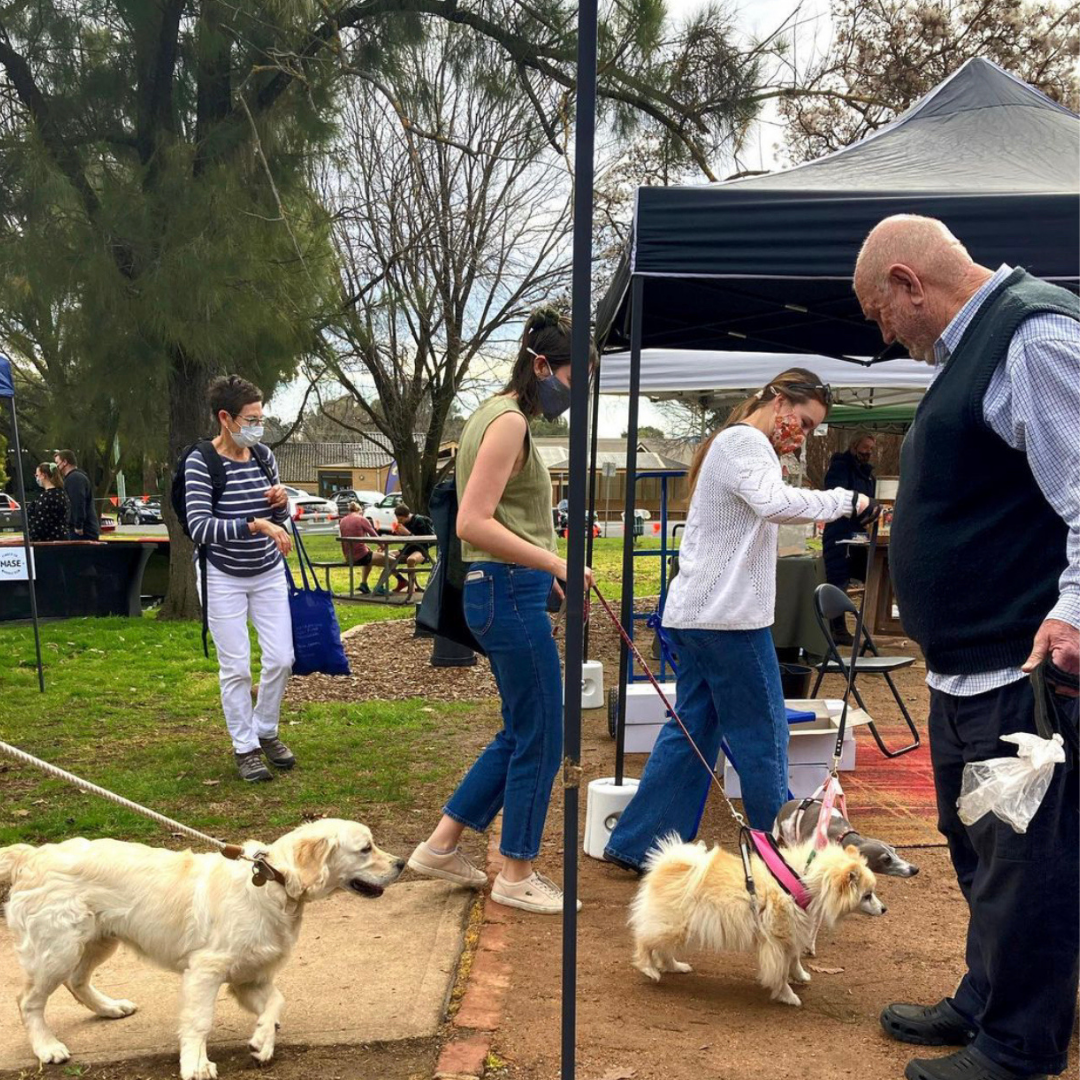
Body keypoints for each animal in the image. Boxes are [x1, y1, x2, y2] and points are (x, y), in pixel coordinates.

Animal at [0, 816, 406, 1080]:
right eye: (365, 848)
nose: (402, 863)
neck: (274, 884)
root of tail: (30, 855)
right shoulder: (206, 971)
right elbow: (199, 1021)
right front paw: (195, 1064)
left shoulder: (250, 977)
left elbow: (277, 1002)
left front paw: (262, 1040)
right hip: (58, 950)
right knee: (29, 1001)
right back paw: (47, 1047)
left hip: (99, 941)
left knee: (78, 981)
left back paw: (110, 1008)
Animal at [630, 833, 881, 1002]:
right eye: (867, 895)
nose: (884, 909)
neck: (803, 881)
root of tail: (668, 863)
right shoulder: (778, 941)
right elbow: (781, 972)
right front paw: (787, 995)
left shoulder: (792, 935)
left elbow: (794, 960)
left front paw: (800, 976)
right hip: (672, 926)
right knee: (644, 941)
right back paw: (649, 969)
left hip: (679, 929)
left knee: (663, 950)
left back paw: (674, 967)